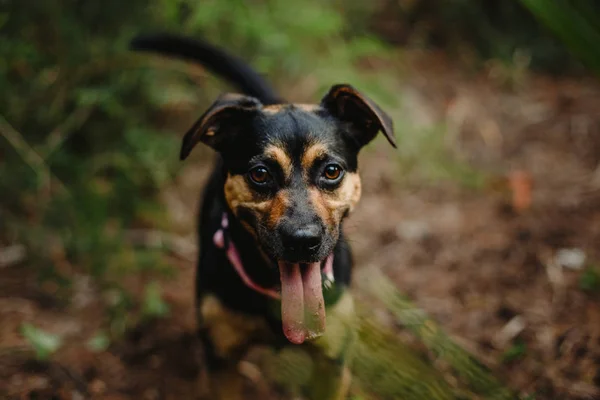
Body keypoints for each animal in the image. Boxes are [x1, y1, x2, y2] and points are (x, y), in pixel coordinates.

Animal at [129, 34, 396, 400]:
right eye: (259, 174)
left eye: (332, 171)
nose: (303, 241)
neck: (277, 290)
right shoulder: (222, 361)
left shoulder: (332, 366)